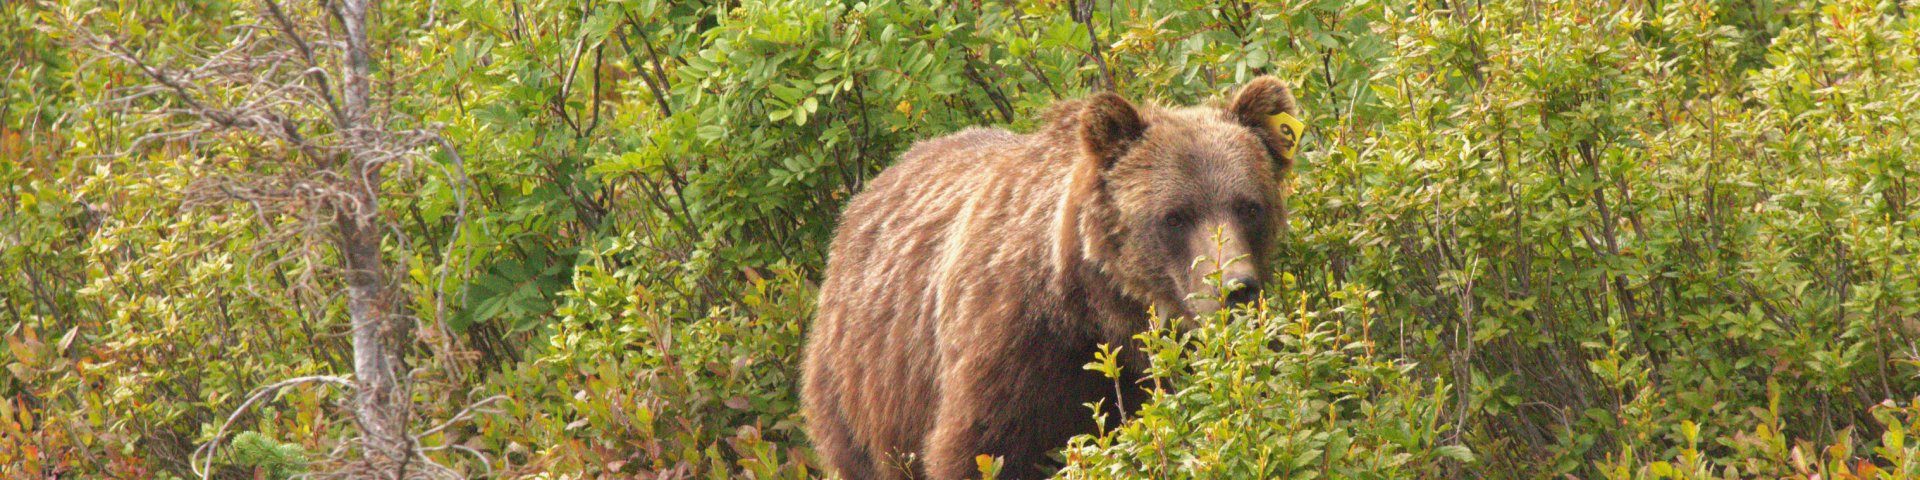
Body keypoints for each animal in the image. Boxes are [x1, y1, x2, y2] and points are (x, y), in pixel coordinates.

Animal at [801, 76, 1302, 479]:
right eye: (1175, 216)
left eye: (1249, 206)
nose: (1235, 287)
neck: (1096, 311)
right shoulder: (1010, 351)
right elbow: (978, 450)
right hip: (862, 386)